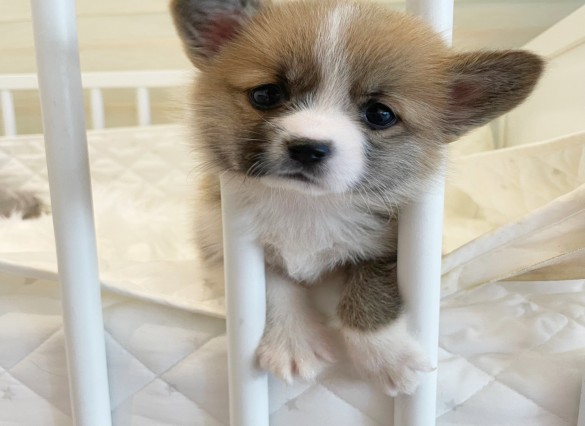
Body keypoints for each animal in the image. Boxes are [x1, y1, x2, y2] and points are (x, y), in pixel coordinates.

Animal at [170, 0, 543, 395]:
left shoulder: (390, 247)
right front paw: (293, 343)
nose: (308, 148)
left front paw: (387, 357)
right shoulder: (223, 243)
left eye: (380, 114)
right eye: (266, 94)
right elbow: (272, 287)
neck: (307, 206)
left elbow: (368, 291)